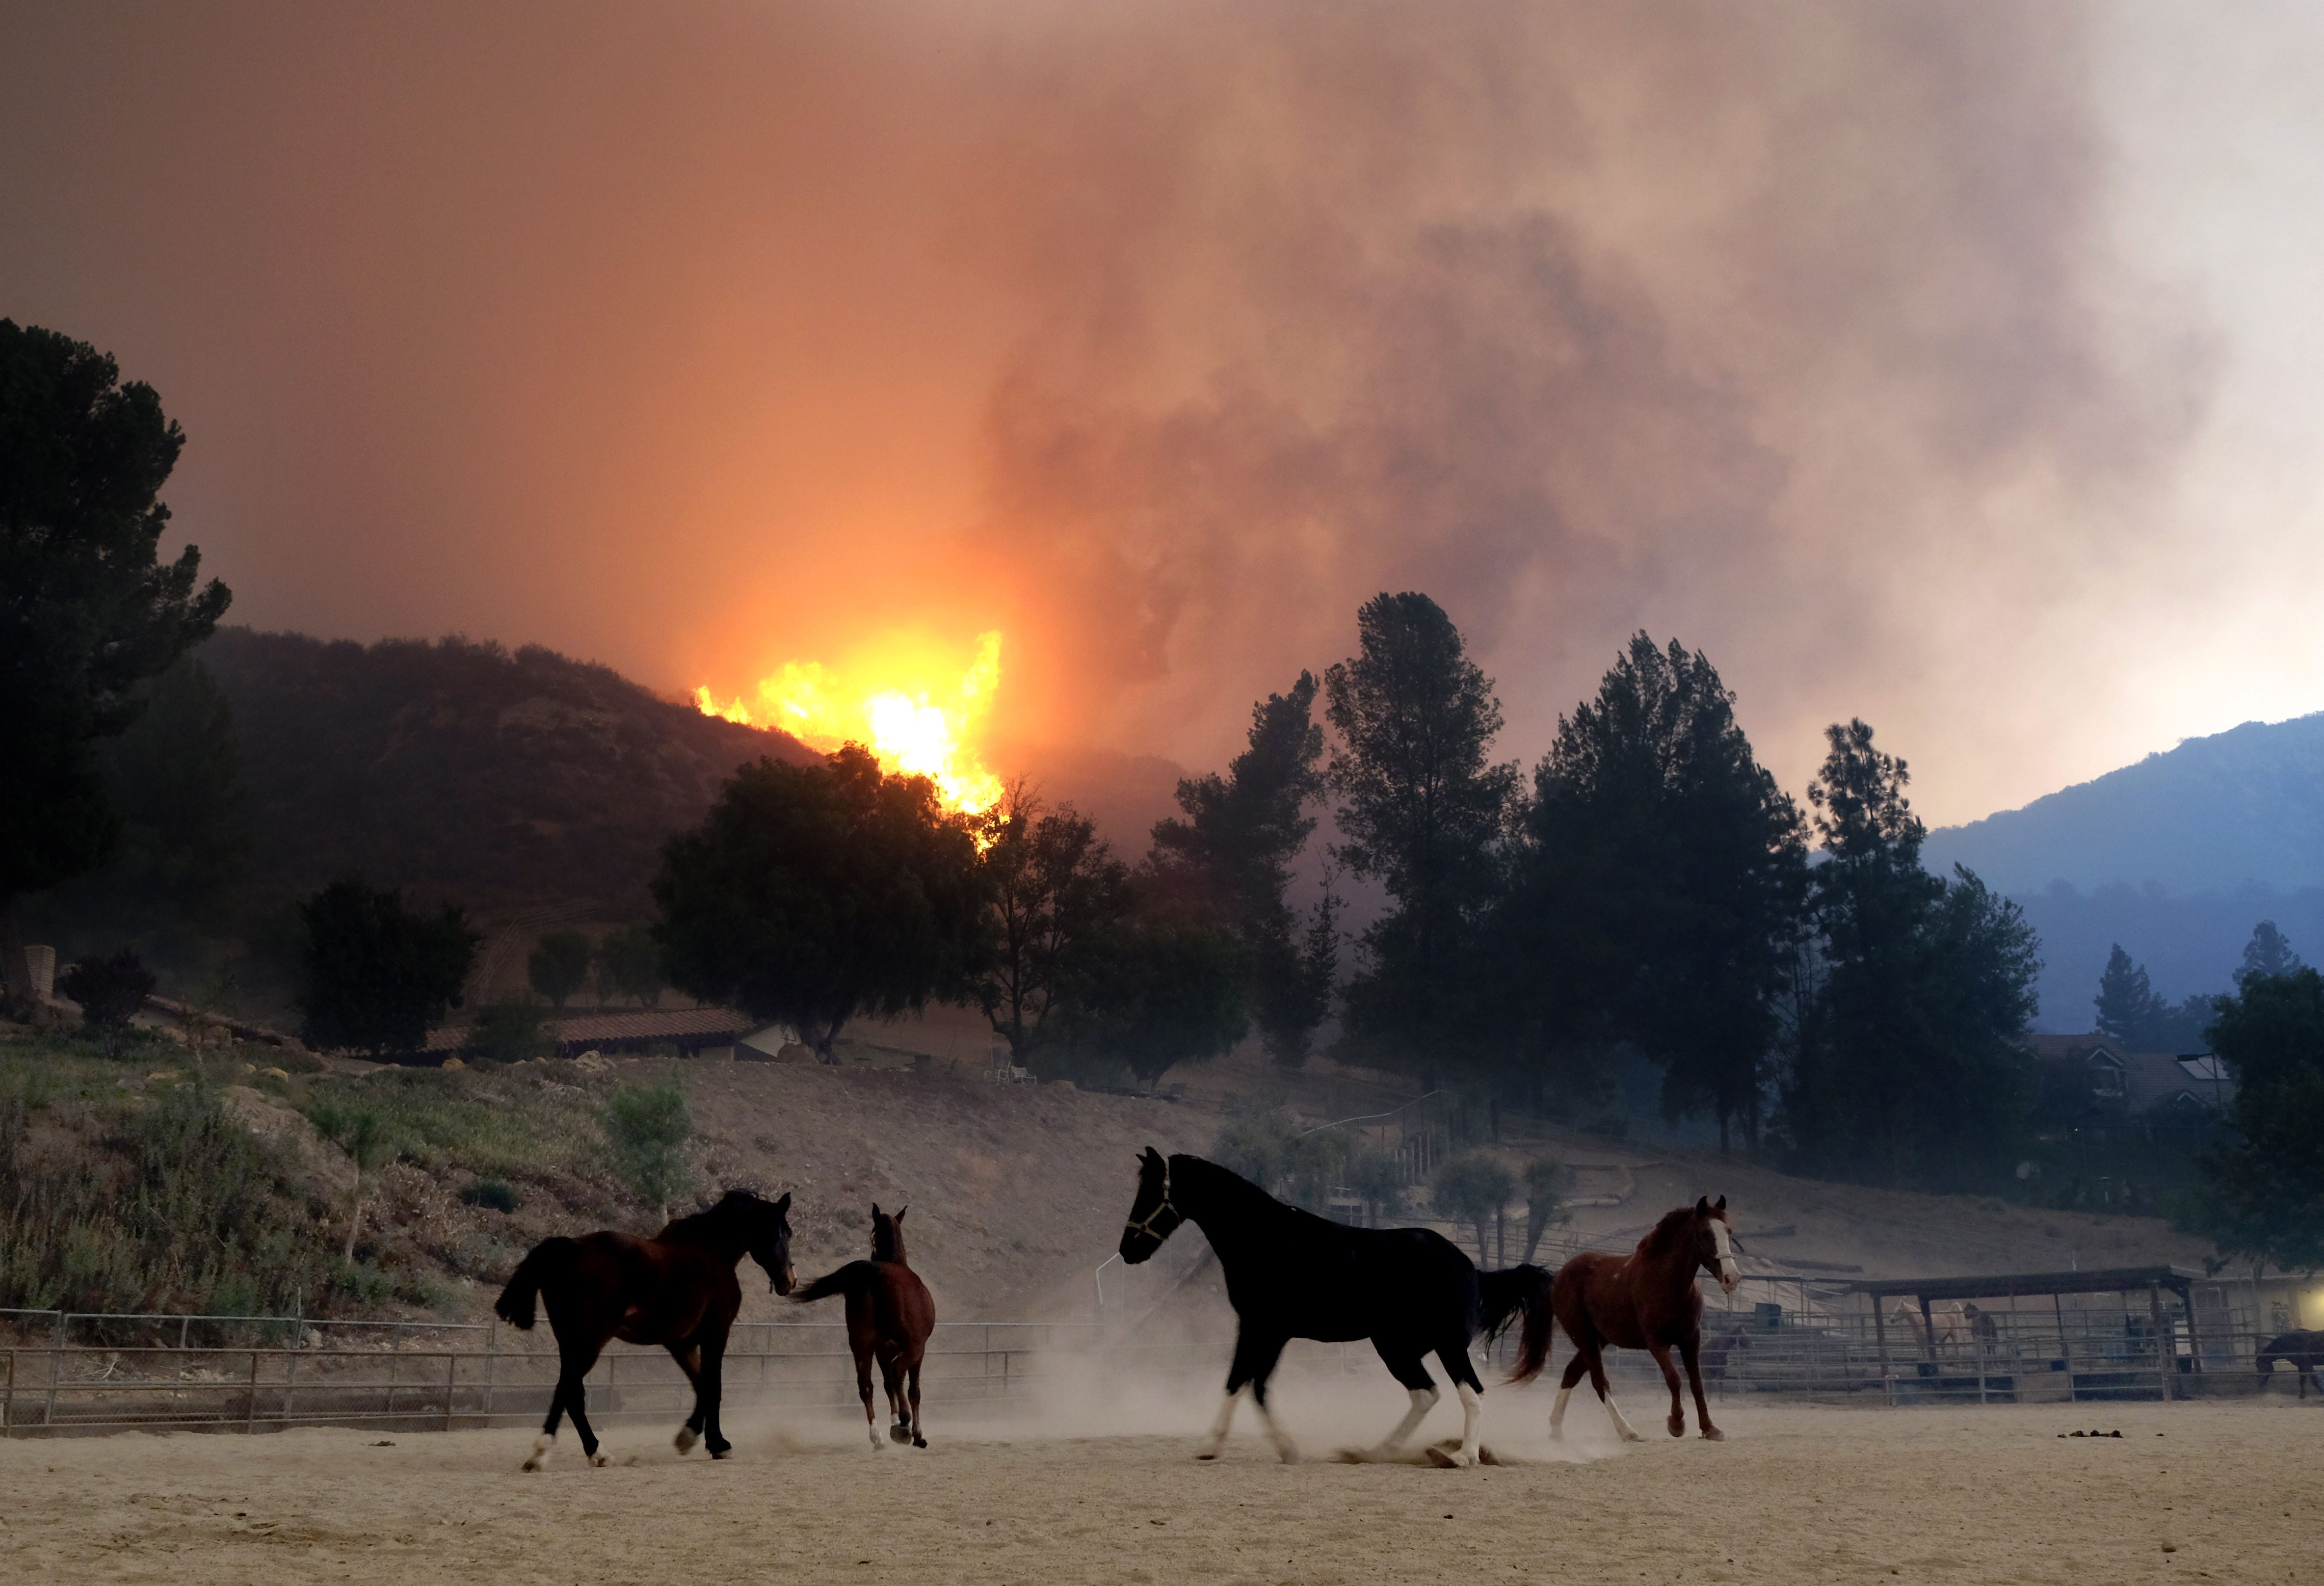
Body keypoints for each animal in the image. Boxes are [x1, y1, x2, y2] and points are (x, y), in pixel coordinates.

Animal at [488, 1181, 790, 1460]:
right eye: (785, 1233)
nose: (790, 1280)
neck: (712, 1251)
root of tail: (571, 1247)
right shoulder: (716, 1333)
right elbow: (713, 1387)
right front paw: (717, 1444)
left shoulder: (681, 1344)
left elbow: (702, 1385)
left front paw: (688, 1437)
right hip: (590, 1341)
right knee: (568, 1390)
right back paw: (554, 1452)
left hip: (569, 1341)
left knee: (571, 1394)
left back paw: (584, 1451)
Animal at [790, 1200, 934, 1442]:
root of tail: (876, 1272)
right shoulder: (917, 1351)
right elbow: (912, 1390)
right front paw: (916, 1432)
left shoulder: (883, 1350)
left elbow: (887, 1385)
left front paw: (894, 1422)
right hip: (911, 1347)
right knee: (898, 1373)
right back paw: (905, 1424)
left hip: (861, 1345)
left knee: (866, 1386)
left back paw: (878, 1436)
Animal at [1115, 1144, 1552, 1460]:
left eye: (1151, 1192)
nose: (1127, 1250)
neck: (1267, 1239)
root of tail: (1470, 1267)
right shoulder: (1269, 1331)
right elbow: (1253, 1384)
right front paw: (1276, 1447)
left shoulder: (1262, 1327)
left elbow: (1242, 1381)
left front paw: (1217, 1446)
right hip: (1398, 1346)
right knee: (1425, 1393)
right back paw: (1376, 1452)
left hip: (1443, 1345)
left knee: (1470, 1394)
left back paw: (1463, 1457)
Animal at [1552, 1191, 1738, 1442]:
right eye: (1705, 1233)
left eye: (1728, 1232)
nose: (1732, 1278)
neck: (1668, 1284)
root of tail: (1560, 1275)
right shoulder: (1656, 1342)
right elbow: (1674, 1379)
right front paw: (1676, 1424)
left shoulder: (1691, 1339)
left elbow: (1697, 1384)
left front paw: (1710, 1429)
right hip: (1585, 1338)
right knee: (1599, 1382)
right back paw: (1627, 1430)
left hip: (1597, 1340)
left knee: (1571, 1374)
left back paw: (1556, 1429)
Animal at [2250, 1320, 2324, 1395]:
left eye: (2261, 1367)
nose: (2260, 1384)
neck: (2289, 1343)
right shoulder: (2301, 1366)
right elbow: (2302, 1382)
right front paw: (2302, 1395)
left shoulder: (2307, 1365)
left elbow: (2314, 1381)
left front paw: (2322, 1392)